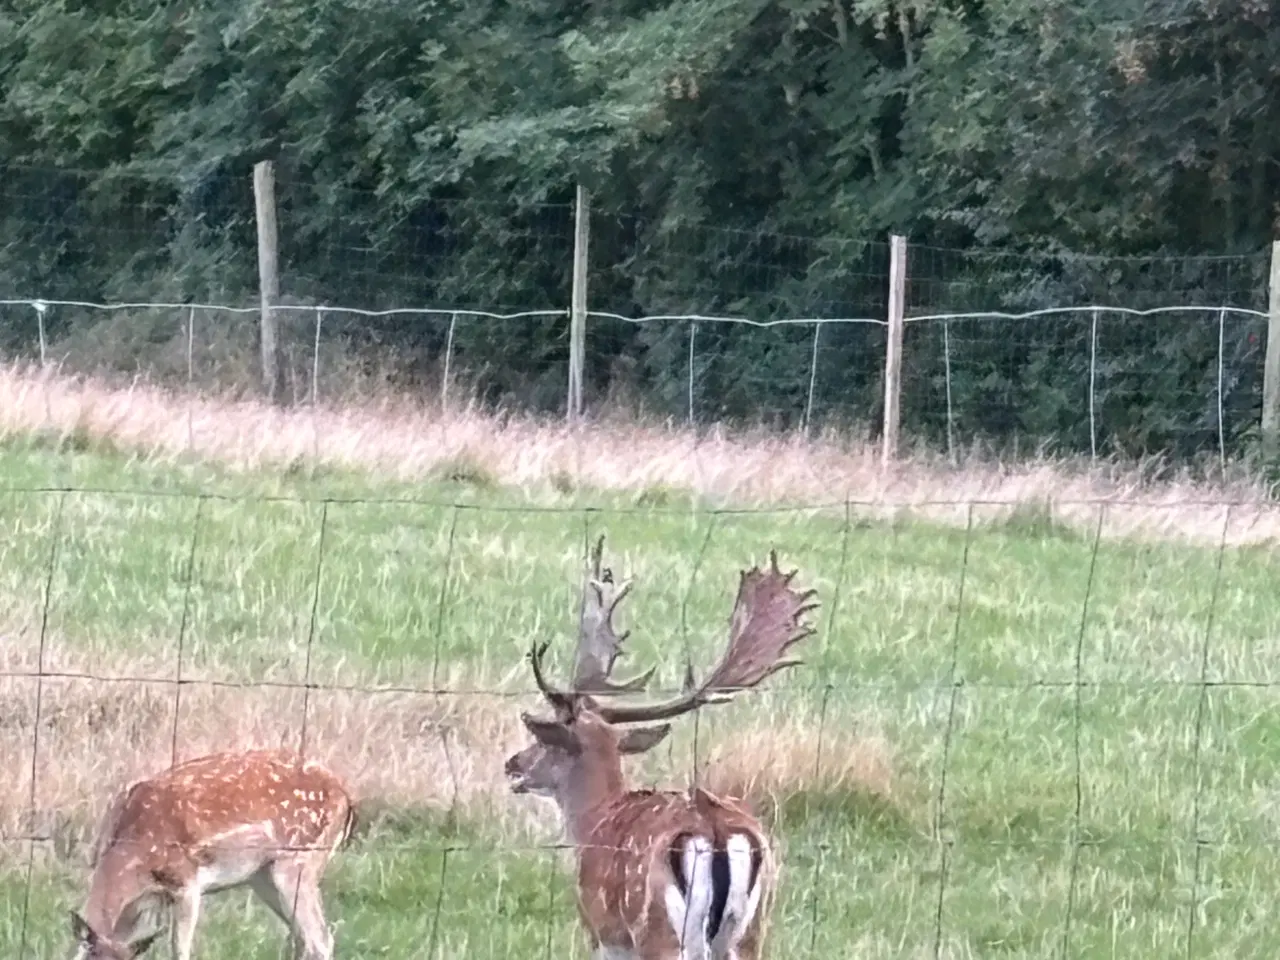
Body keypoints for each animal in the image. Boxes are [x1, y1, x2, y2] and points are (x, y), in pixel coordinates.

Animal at [72, 752, 358, 960]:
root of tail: (346, 798)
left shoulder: (187, 882)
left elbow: (179, 950)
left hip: (299, 862)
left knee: (320, 939)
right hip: (263, 876)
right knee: (302, 936)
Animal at [501, 537, 819, 957]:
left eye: (543, 739)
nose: (513, 763)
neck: (592, 820)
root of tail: (714, 828)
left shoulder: (603, 932)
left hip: (661, 929)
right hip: (753, 928)